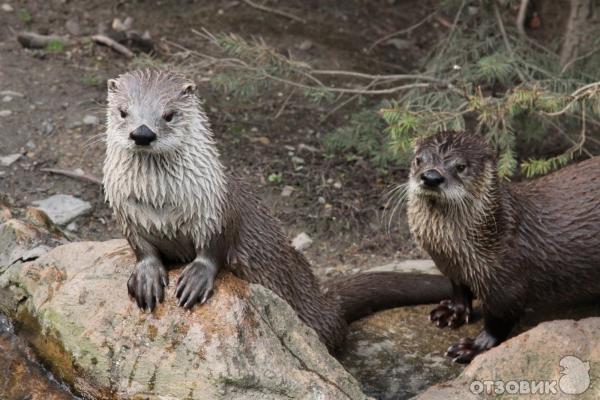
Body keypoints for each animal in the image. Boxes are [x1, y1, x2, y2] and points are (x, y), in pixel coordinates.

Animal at [101, 70, 452, 352]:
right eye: (123, 112)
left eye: (169, 114)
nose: (142, 133)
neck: (161, 202)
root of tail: (326, 304)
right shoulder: (126, 213)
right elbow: (142, 248)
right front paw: (147, 275)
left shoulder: (215, 207)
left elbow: (215, 247)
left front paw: (196, 277)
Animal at [404, 131, 600, 362]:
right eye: (419, 160)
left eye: (461, 166)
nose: (431, 177)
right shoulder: (453, 269)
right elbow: (460, 291)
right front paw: (452, 312)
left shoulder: (505, 282)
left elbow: (499, 320)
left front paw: (473, 347)